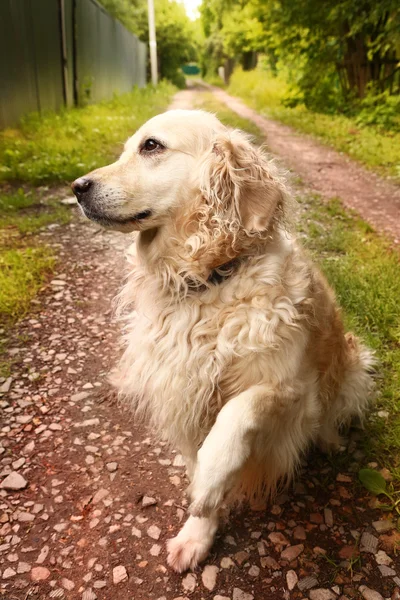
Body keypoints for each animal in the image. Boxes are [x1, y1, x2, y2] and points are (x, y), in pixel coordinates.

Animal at [72, 110, 376, 576]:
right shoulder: (182, 391)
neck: (210, 280)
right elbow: (197, 458)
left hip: (356, 363)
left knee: (332, 415)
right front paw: (197, 534)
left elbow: (236, 414)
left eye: (151, 146)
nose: (77, 187)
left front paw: (208, 482)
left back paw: (330, 442)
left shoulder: (292, 391)